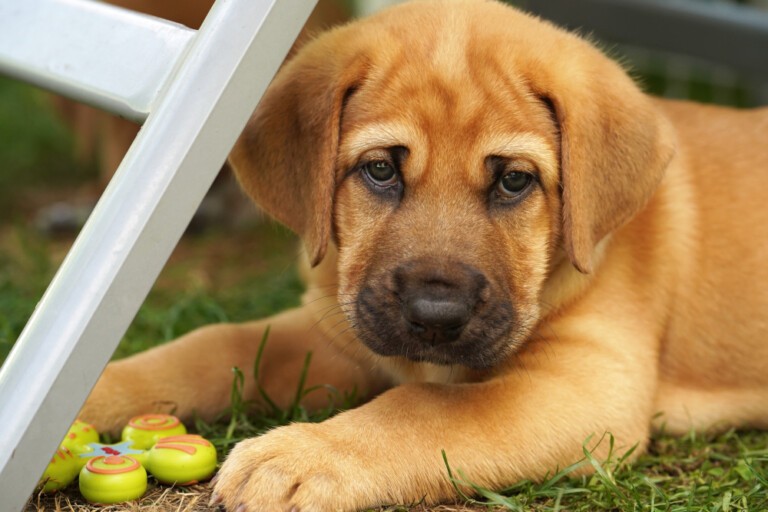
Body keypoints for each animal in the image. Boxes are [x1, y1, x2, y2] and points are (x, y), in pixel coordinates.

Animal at [79, 0, 768, 510]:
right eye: (381, 170)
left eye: (514, 181)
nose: (437, 317)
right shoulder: (338, 332)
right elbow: (214, 344)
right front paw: (97, 391)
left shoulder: (589, 383)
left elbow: (427, 408)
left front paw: (301, 456)